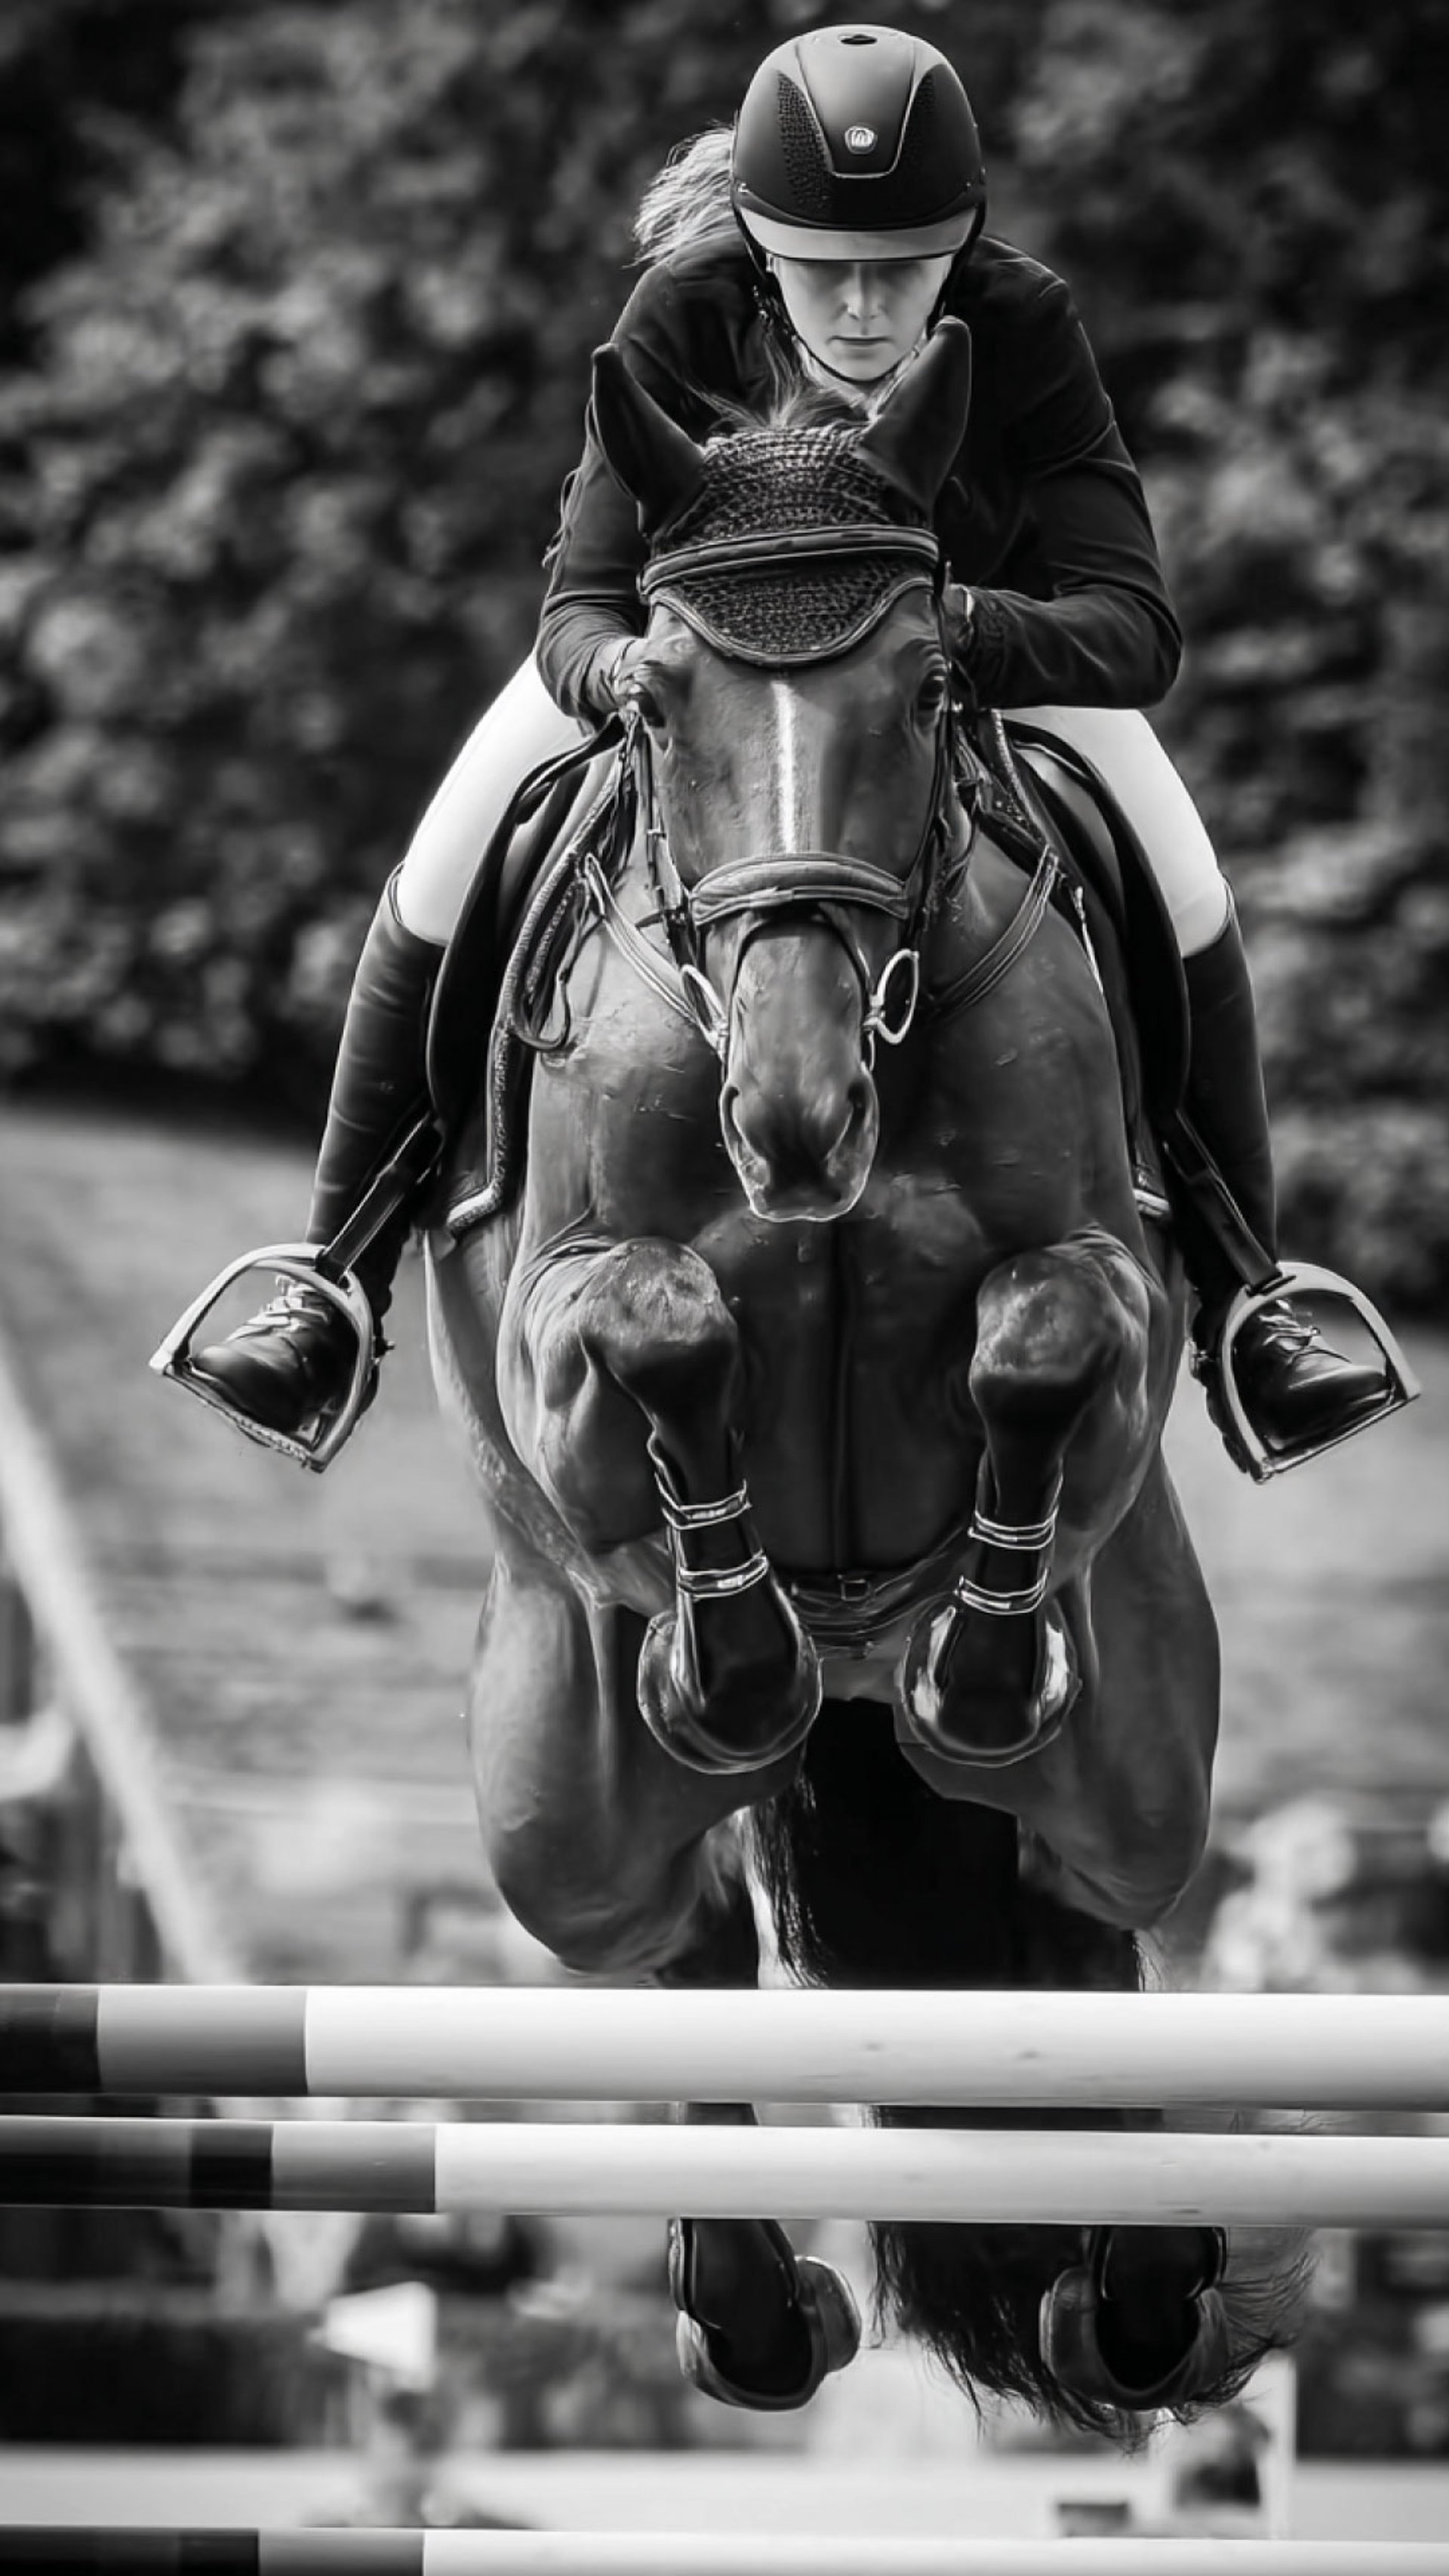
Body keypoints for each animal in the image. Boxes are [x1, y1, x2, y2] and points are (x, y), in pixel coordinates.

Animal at [424, 323, 1308, 2434]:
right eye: (660, 701)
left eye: (923, 684)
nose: (795, 1115)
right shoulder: (554, 1323)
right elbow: (667, 1320)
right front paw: (738, 1644)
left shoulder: (1107, 1284)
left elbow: (1041, 1336)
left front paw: (974, 1654)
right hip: (553, 1787)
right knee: (675, 1943)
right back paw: (751, 2305)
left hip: (1143, 1729)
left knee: (1080, 1917)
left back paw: (1126, 2286)